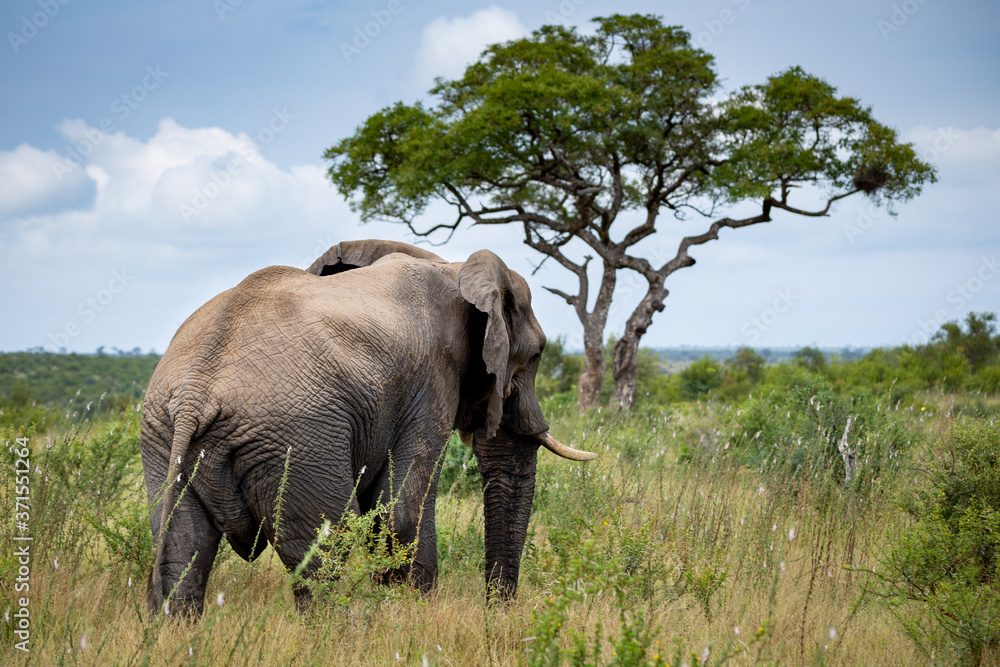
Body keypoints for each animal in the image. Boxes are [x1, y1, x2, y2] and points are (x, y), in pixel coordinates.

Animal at [140, 239, 592, 616]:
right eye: (536, 355)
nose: (499, 615)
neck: (455, 267)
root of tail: (197, 392)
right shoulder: (431, 381)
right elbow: (400, 512)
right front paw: (412, 622)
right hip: (299, 440)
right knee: (325, 548)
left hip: (163, 438)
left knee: (183, 547)